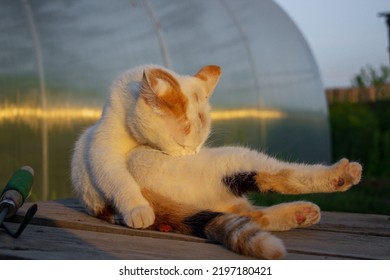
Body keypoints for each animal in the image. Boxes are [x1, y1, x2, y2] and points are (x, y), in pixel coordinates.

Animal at [70, 64, 222, 229]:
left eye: (200, 144)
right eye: (180, 144)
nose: (192, 156)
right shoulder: (104, 147)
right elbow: (119, 180)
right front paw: (138, 210)